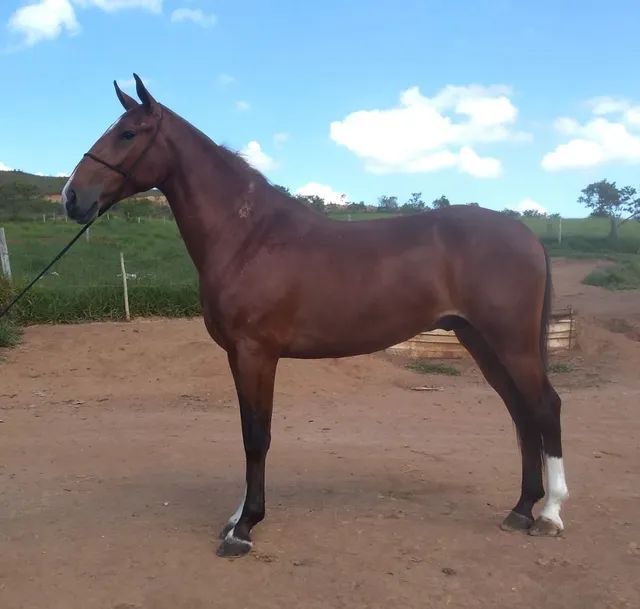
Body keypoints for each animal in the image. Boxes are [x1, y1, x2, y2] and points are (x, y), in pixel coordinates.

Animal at [62, 75, 568, 556]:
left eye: (128, 133)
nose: (71, 197)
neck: (250, 236)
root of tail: (525, 234)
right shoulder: (237, 356)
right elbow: (247, 431)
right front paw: (238, 516)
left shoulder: (256, 354)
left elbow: (256, 437)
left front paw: (244, 529)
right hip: (481, 342)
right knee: (522, 415)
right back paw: (521, 509)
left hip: (511, 343)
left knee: (545, 407)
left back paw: (549, 514)